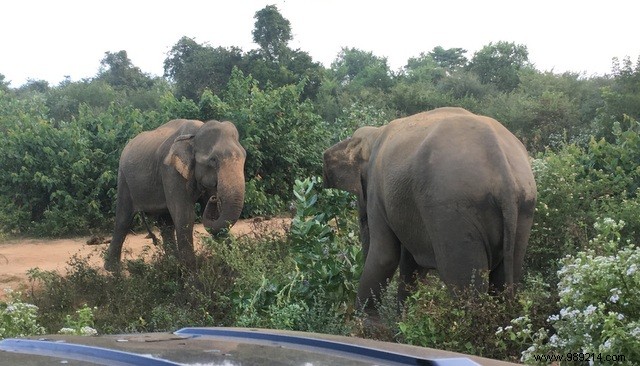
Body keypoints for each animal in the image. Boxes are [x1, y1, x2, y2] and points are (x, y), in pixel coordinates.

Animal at [105, 118, 245, 270]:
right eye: (213, 160)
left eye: (245, 157)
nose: (214, 198)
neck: (195, 134)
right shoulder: (170, 172)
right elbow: (185, 216)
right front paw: (190, 272)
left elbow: (216, 217)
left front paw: (233, 266)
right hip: (123, 179)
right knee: (123, 219)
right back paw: (112, 269)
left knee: (165, 223)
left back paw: (171, 264)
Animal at [322, 106, 536, 308]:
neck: (373, 134)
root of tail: (503, 173)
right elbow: (411, 263)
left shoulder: (377, 189)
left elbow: (385, 256)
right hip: (524, 209)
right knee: (506, 276)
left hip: (451, 210)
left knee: (463, 282)